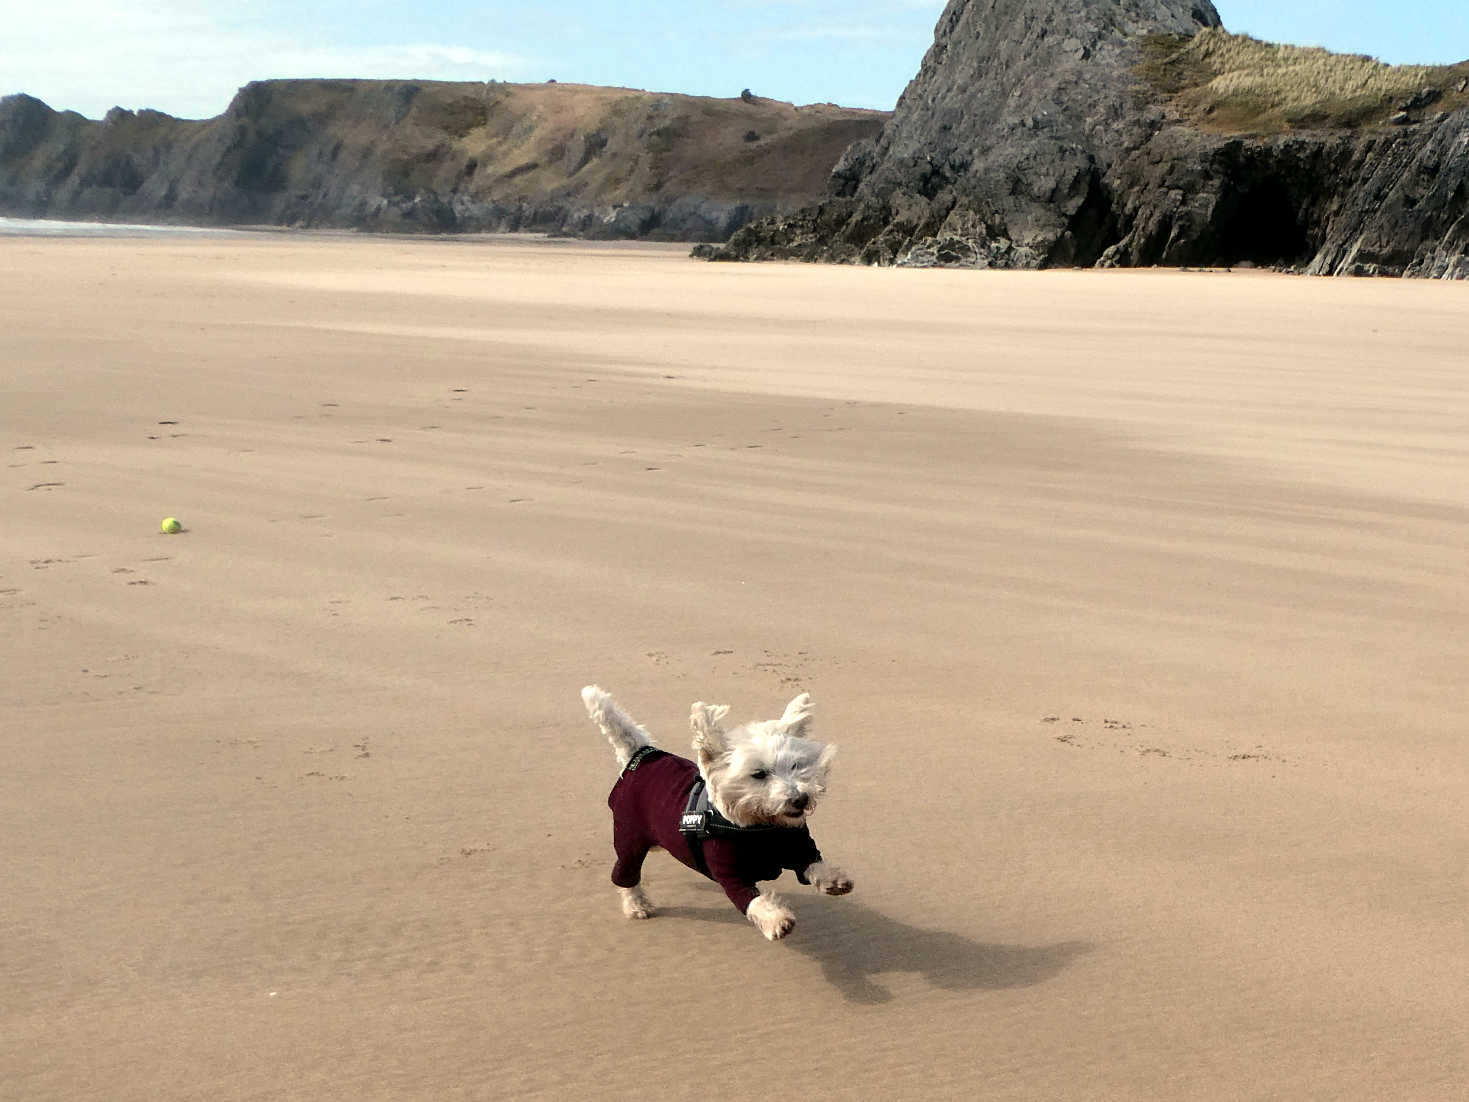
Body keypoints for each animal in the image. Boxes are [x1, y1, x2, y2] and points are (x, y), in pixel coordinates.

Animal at [575, 690, 852, 940]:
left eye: (795, 765)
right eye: (759, 774)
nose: (800, 799)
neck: (761, 828)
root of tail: (642, 754)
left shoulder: (797, 847)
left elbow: (814, 862)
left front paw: (834, 879)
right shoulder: (731, 874)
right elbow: (754, 901)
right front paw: (776, 919)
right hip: (628, 837)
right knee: (626, 875)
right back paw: (636, 905)